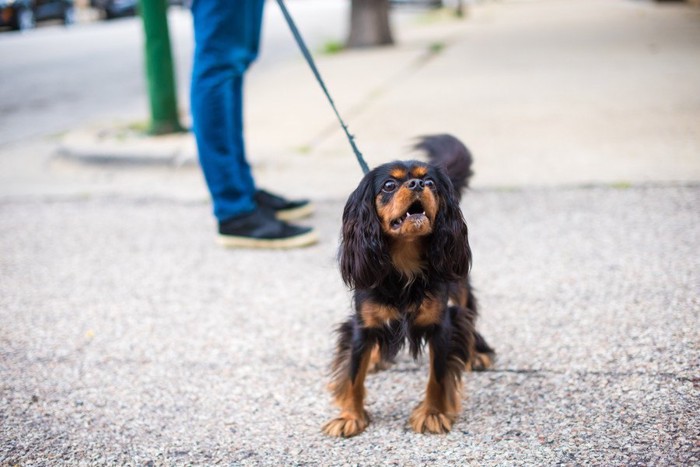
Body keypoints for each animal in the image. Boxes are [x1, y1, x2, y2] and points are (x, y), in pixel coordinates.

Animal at [322, 134, 492, 438]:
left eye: (431, 182)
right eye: (390, 185)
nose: (417, 184)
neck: (404, 261)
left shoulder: (441, 324)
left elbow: (438, 376)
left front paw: (433, 414)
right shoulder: (361, 325)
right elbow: (353, 373)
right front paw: (350, 416)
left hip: (458, 285)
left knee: (468, 313)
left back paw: (476, 354)